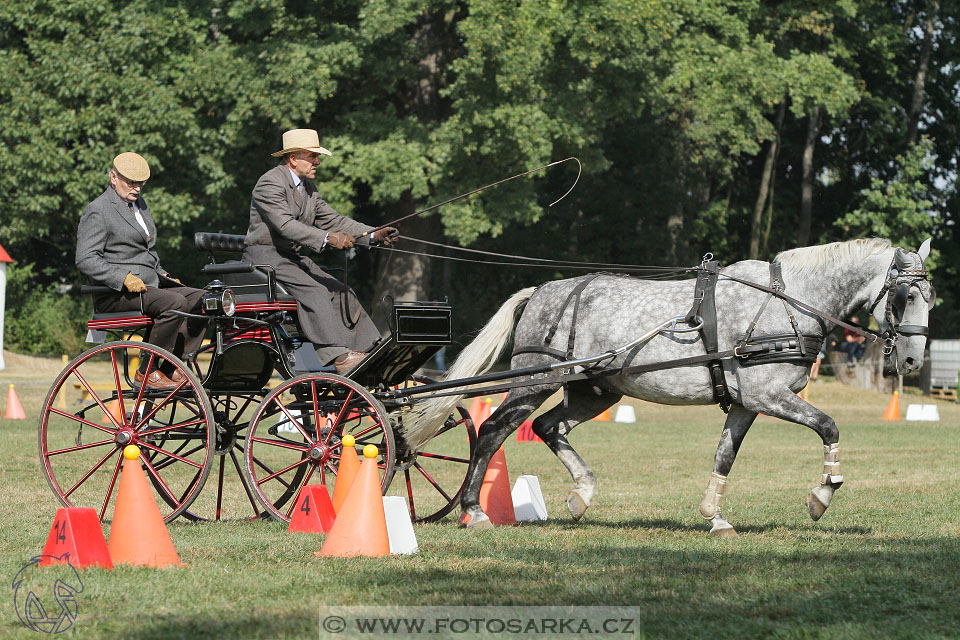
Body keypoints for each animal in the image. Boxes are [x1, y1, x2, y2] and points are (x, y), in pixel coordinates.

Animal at [402, 238, 932, 532]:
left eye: (932, 295)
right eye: (905, 295)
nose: (910, 359)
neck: (788, 301)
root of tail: (542, 291)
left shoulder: (745, 403)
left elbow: (724, 456)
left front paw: (715, 517)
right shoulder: (768, 396)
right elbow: (829, 426)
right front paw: (822, 496)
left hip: (596, 390)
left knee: (551, 428)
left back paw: (581, 495)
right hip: (534, 380)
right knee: (492, 432)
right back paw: (474, 511)